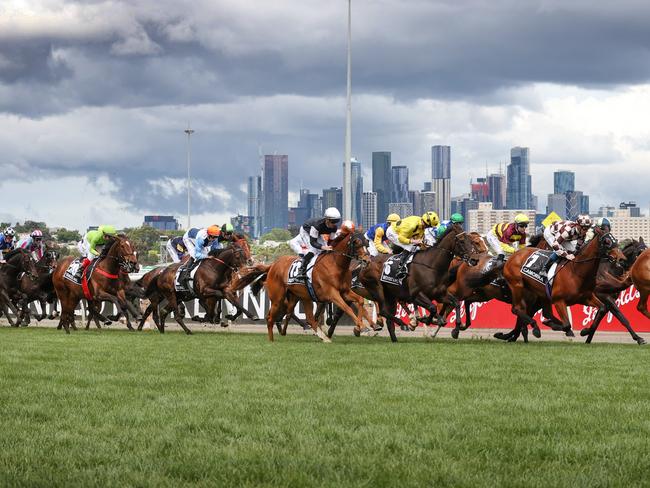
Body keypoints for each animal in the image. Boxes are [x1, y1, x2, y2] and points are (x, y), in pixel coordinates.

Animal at [230, 230, 368, 342]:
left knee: (306, 317)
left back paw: (323, 337)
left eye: (366, 242)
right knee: (270, 317)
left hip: (301, 297)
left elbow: (360, 300)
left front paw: (359, 327)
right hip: (278, 298)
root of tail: (272, 265)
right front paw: (361, 327)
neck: (335, 264)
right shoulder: (332, 294)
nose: (366, 260)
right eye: (356, 242)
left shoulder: (345, 291)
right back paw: (272, 340)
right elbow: (347, 308)